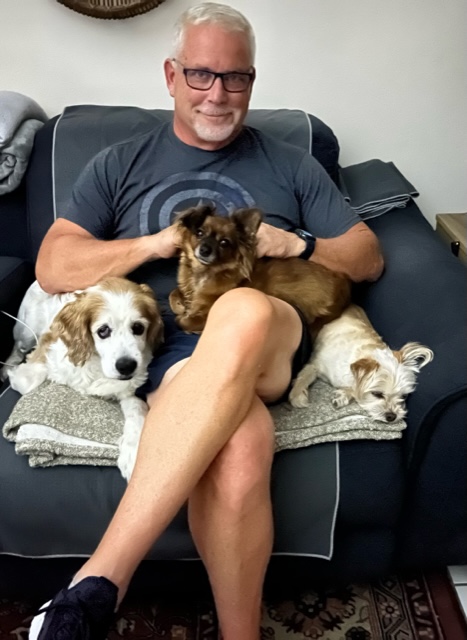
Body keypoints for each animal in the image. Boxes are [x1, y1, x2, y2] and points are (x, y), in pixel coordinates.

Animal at [1, 276, 164, 480]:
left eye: (138, 328)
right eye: (103, 330)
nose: (126, 366)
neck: (97, 365)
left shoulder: (129, 391)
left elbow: (137, 410)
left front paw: (132, 452)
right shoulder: (48, 345)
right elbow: (29, 380)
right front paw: (15, 373)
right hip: (25, 332)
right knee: (17, 347)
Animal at [171, 205, 352, 336]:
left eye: (224, 243)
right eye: (199, 232)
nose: (205, 250)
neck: (204, 273)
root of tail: (342, 283)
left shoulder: (209, 313)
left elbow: (182, 321)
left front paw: (185, 317)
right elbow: (173, 294)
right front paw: (180, 304)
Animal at [288, 302, 436, 422]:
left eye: (404, 396)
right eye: (377, 394)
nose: (392, 417)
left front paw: (343, 395)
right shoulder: (315, 364)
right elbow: (304, 376)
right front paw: (297, 395)